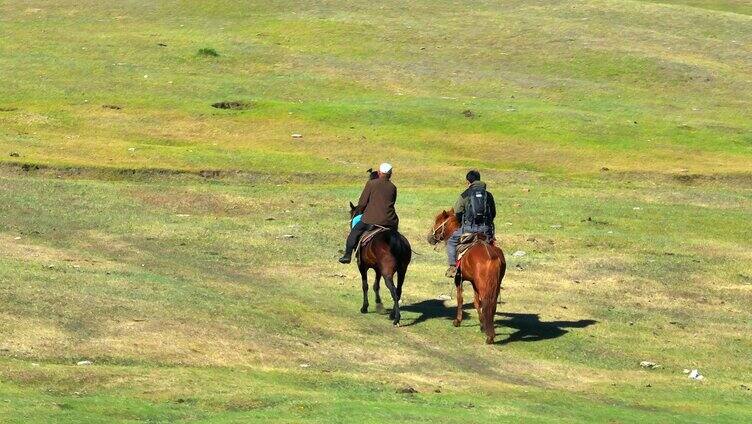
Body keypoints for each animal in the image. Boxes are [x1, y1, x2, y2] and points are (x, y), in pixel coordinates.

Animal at [428, 209, 506, 344]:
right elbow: (476, 302)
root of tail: (493, 257)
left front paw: (457, 321)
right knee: (492, 305)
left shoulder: (459, 279)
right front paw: (481, 324)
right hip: (494, 285)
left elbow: (460, 299)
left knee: (486, 303)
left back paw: (490, 336)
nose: (429, 238)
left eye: (437, 221)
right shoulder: (474, 282)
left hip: (483, 285)